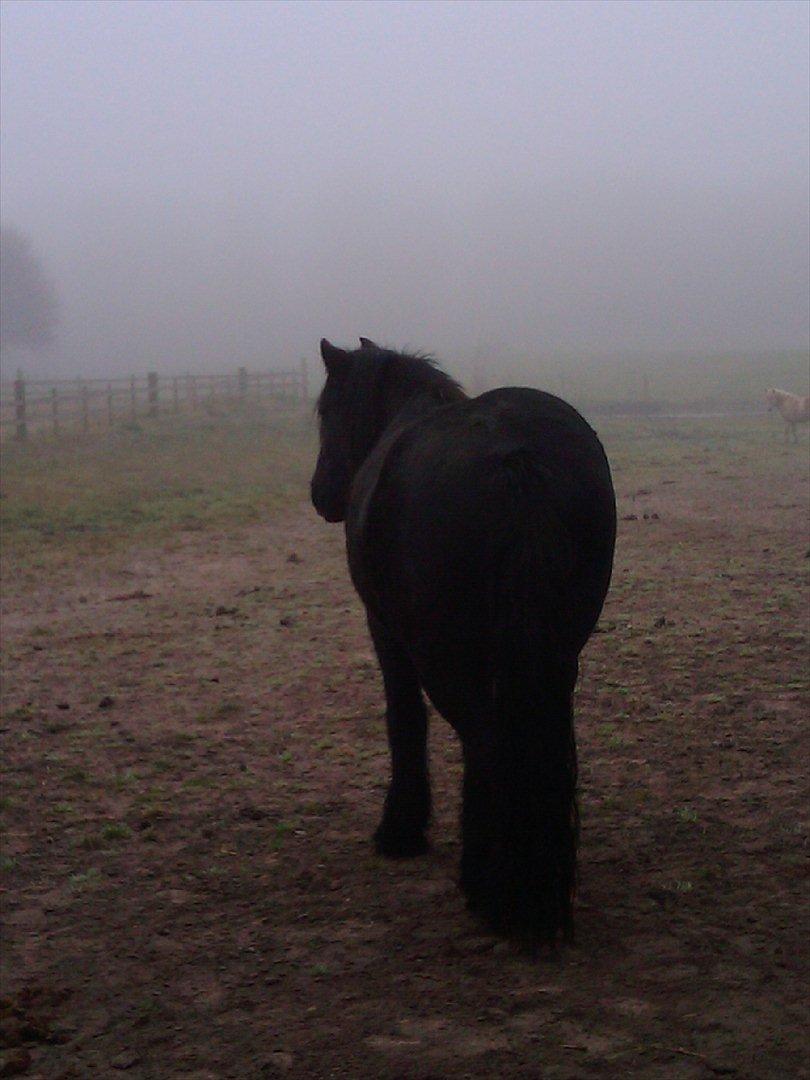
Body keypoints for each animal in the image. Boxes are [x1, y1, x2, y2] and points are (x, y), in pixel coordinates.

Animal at [310, 338, 616, 942]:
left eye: (328, 412)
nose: (321, 493)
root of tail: (515, 459)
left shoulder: (386, 633)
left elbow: (404, 721)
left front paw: (401, 830)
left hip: (445, 658)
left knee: (484, 742)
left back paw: (488, 884)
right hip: (558, 652)